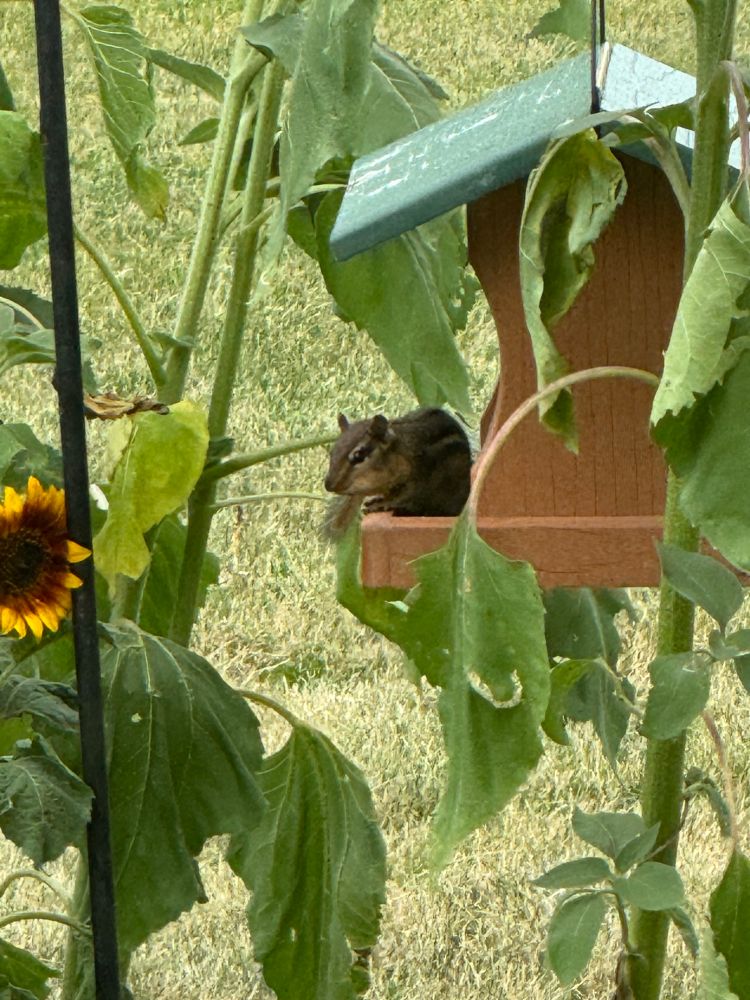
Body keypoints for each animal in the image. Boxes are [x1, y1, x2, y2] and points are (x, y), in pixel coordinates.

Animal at [323, 407, 472, 538]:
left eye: (359, 455)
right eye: (332, 451)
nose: (328, 485)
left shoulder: (417, 480)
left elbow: (402, 498)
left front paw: (380, 504)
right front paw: (376, 500)